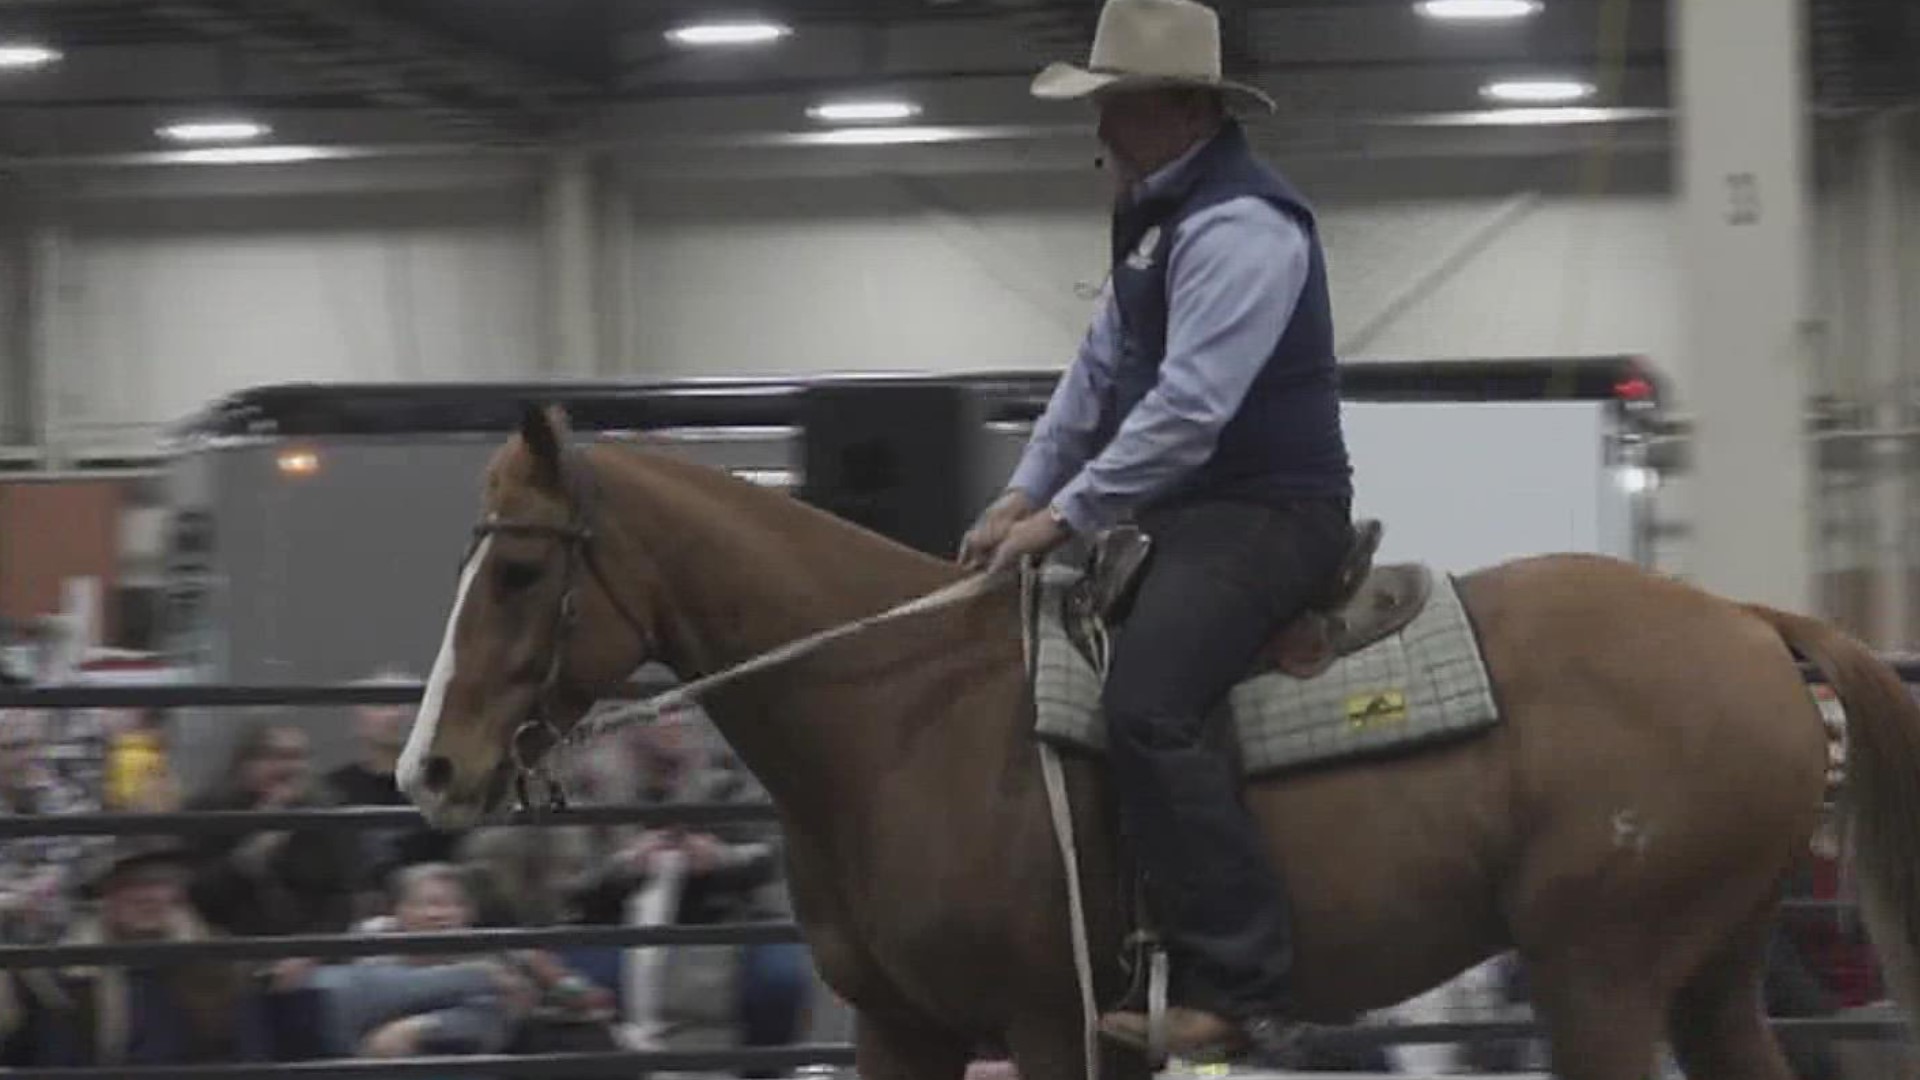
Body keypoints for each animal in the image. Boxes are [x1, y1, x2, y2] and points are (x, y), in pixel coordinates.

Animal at [393, 401, 1920, 1076]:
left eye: (517, 570)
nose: (431, 770)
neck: (900, 715)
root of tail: (1743, 624)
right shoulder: (902, 1029)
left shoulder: (1047, 1026)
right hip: (1708, 977)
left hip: (1599, 976)